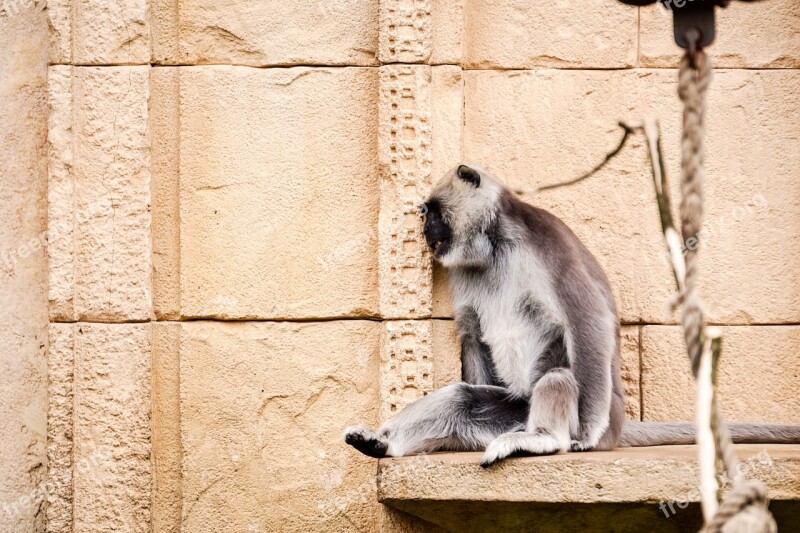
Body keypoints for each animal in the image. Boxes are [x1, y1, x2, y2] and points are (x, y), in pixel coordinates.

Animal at [344, 163, 800, 466]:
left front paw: (585, 437)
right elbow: (473, 332)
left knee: (559, 378)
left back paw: (547, 439)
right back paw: (381, 443)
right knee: (463, 397)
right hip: (515, 409)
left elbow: (589, 319)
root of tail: (621, 424)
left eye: (434, 212)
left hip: (574, 407)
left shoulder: (545, 240)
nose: (426, 232)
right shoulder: (464, 269)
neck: (496, 244)